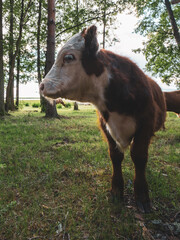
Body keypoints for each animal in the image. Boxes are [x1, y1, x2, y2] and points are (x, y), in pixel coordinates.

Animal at [40, 26, 167, 213]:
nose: (42, 86)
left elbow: (139, 156)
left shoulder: (146, 124)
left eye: (69, 57)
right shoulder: (105, 126)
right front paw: (116, 191)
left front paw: (142, 195)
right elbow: (115, 156)